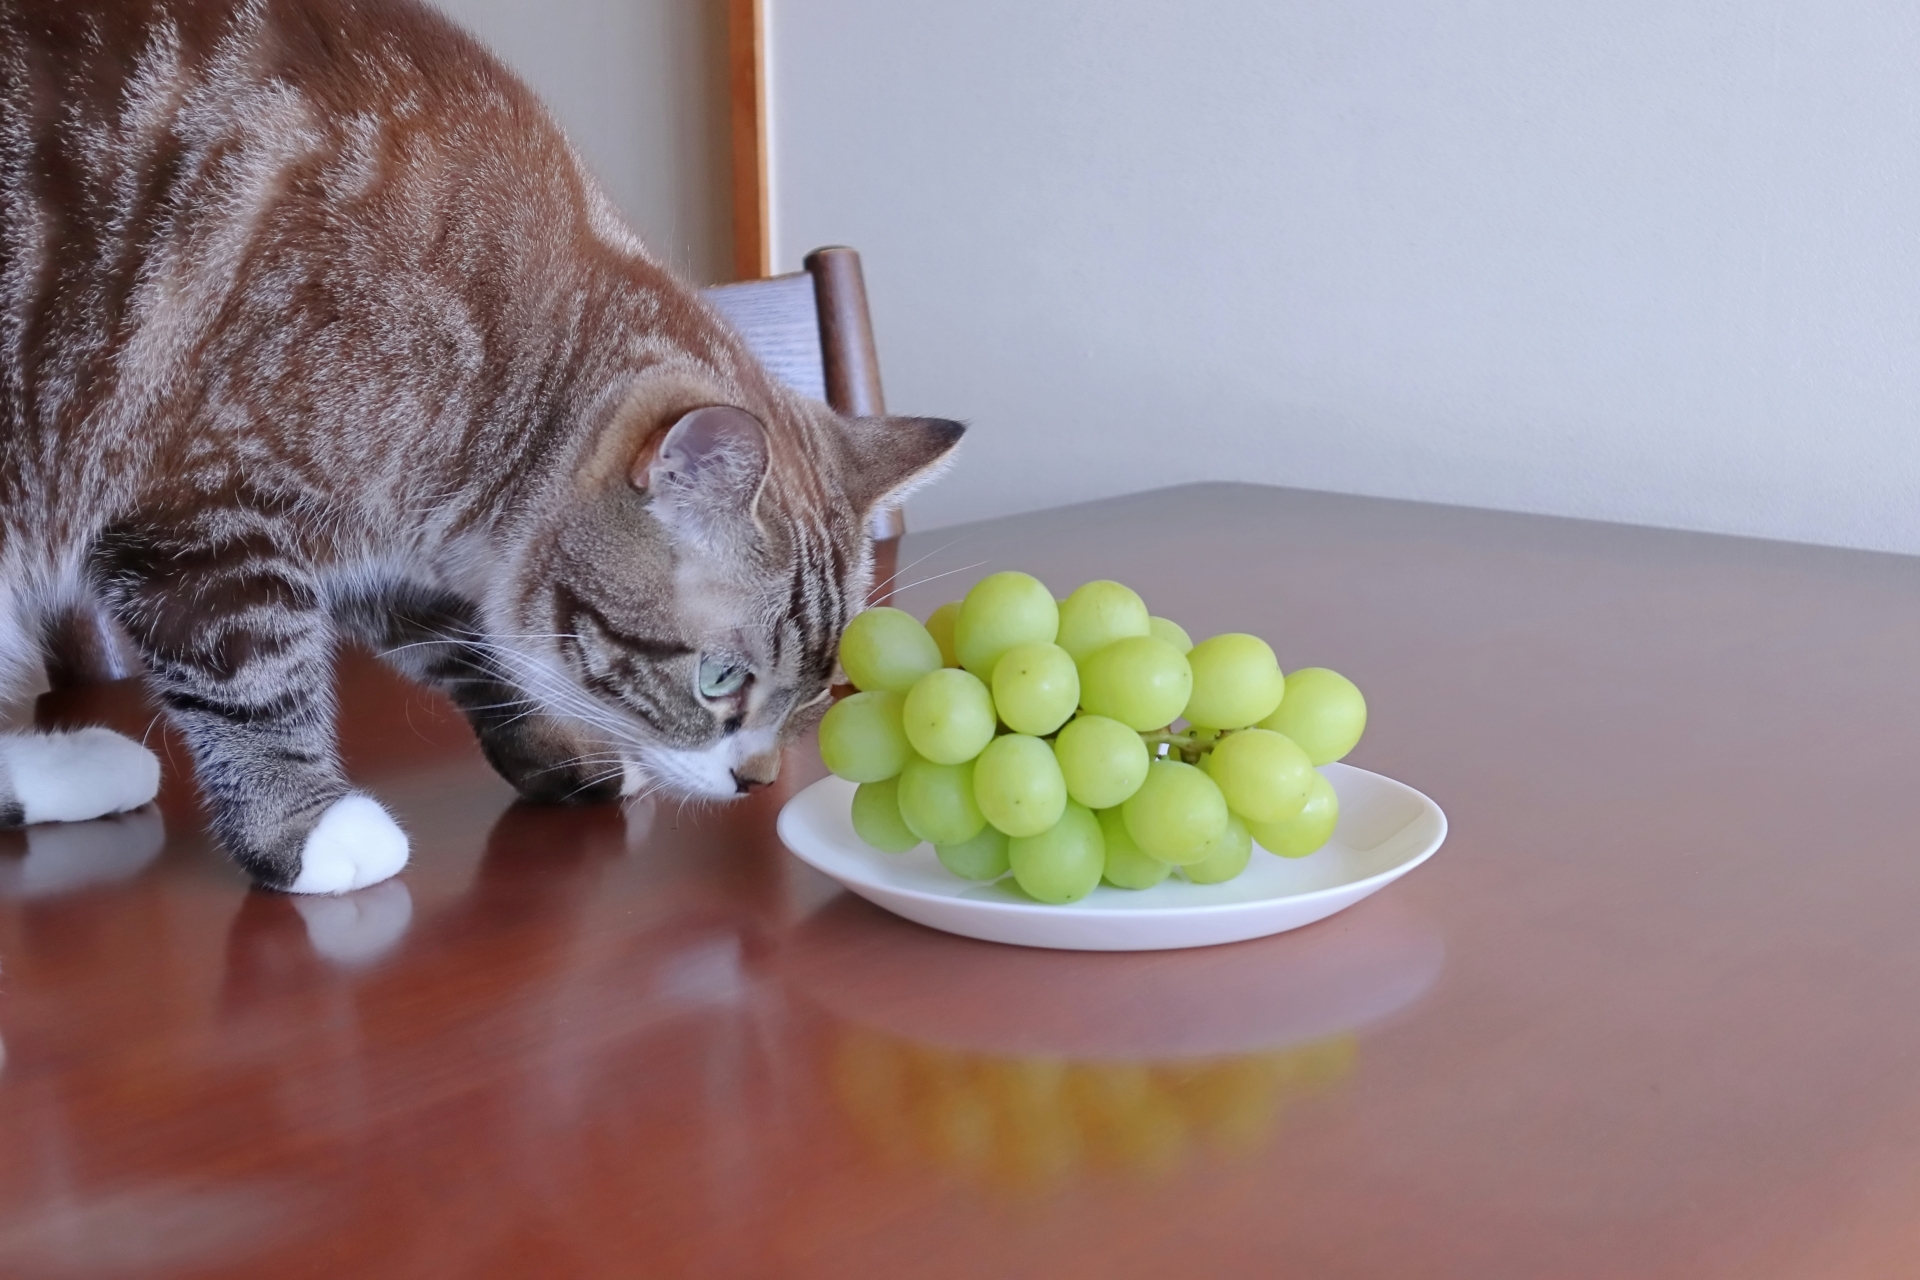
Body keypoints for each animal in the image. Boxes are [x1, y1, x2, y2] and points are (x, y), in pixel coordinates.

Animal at [0, 2, 960, 890]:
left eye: (818, 690)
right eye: (719, 680)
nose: (758, 784)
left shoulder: (393, 546)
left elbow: (481, 657)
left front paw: (563, 750)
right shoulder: (196, 522)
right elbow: (256, 688)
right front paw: (308, 834)